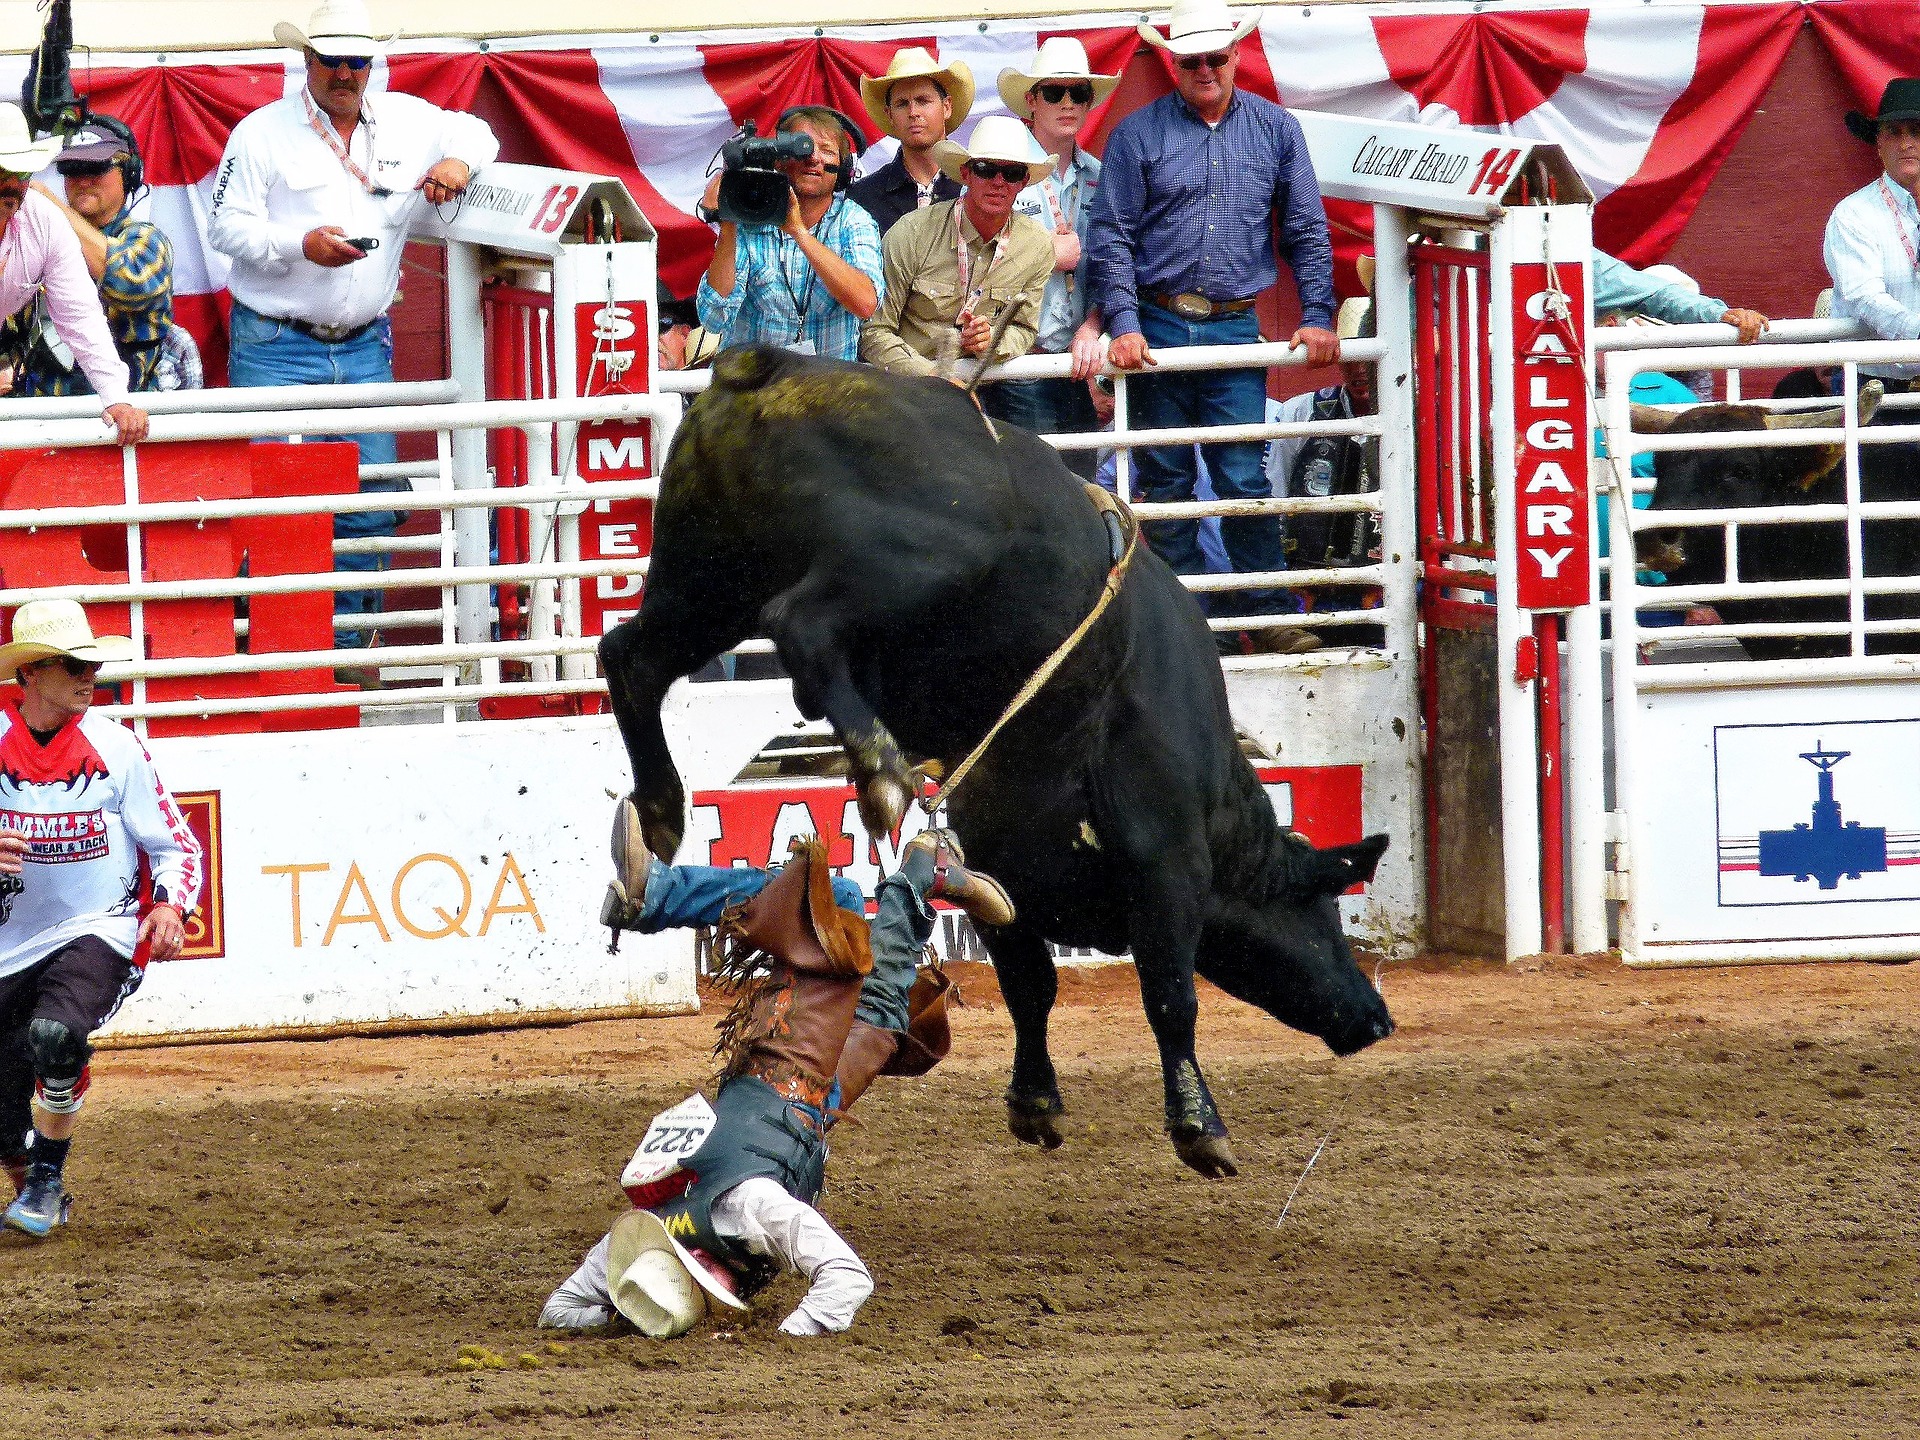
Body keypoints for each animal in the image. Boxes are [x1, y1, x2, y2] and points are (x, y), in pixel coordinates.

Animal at [599, 343, 1397, 1175]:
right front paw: (1198, 1125)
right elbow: (1168, 995)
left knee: (630, 656)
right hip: (908, 565)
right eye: (1323, 912)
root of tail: (775, 367)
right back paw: (879, 769)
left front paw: (1036, 1102)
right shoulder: (1168, 862)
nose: (1375, 1016)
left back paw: (661, 809)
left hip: (709, 580)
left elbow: (1030, 985)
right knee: (800, 626)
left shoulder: (1001, 859)